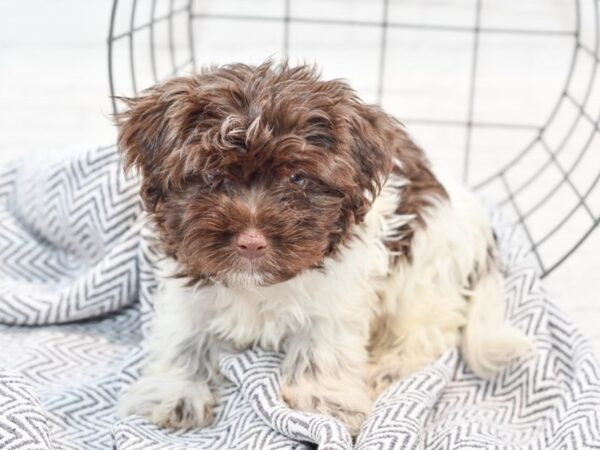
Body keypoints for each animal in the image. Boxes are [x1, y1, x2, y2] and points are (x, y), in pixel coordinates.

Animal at [115, 61, 532, 434]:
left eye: (298, 178)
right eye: (212, 175)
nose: (251, 241)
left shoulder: (339, 291)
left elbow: (325, 344)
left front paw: (324, 400)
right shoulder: (188, 278)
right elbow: (183, 334)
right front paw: (176, 391)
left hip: (426, 272)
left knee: (428, 330)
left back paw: (386, 368)